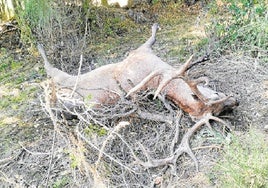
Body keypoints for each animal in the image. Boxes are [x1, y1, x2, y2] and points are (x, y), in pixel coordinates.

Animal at [36, 23, 238, 170]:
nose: (235, 101)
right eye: (216, 95)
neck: (162, 74)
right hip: (67, 81)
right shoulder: (141, 52)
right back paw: (40, 48)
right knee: (50, 72)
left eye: (218, 112)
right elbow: (151, 38)